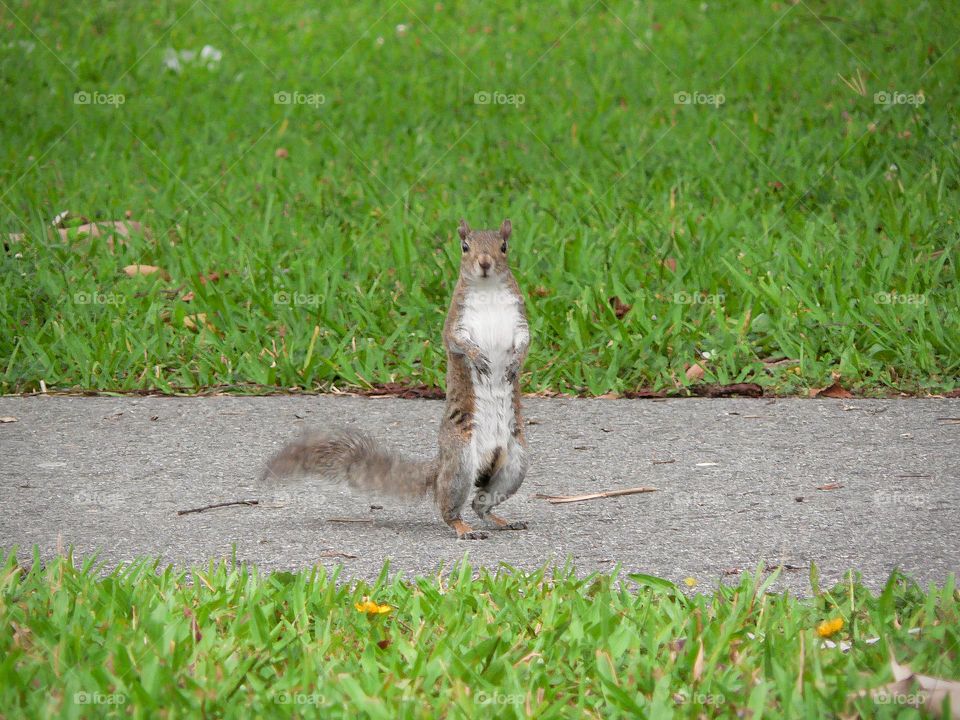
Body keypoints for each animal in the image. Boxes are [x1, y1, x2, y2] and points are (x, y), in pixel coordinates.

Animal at [260, 219, 532, 540]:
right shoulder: (455, 322)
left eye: (504, 246)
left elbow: (525, 341)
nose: (485, 263)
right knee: (449, 506)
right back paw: (463, 527)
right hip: (461, 462)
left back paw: (500, 520)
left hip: (515, 465)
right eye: (465, 247)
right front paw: (477, 357)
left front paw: (514, 364)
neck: (488, 291)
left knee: (482, 504)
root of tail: (442, 463)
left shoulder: (519, 319)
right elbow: (458, 341)